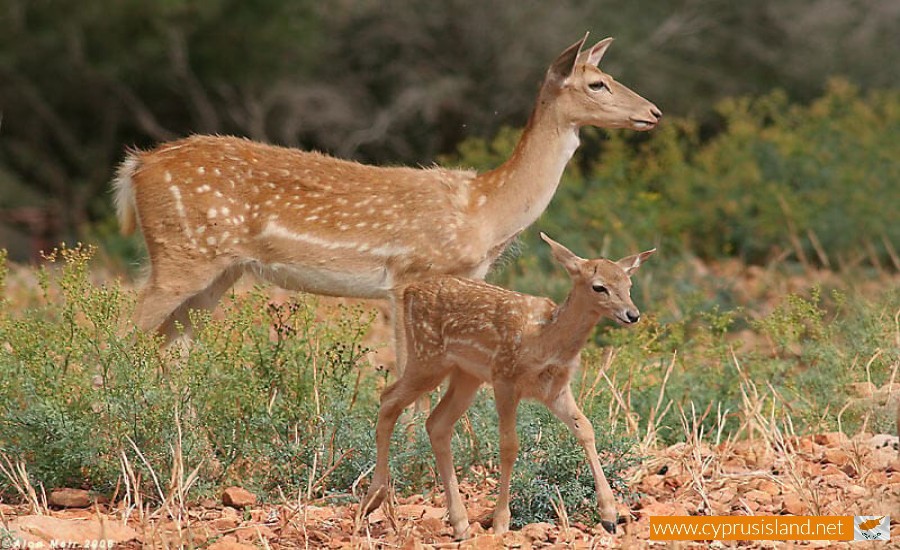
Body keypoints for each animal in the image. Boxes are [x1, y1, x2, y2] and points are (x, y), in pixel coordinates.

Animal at [112, 34, 660, 344]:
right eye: (596, 84)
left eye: (609, 74)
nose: (653, 112)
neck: (484, 210)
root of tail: (136, 166)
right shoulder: (409, 277)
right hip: (181, 255)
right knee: (118, 337)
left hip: (219, 271)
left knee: (171, 347)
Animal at [361, 233, 655, 539]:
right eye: (599, 287)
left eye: (629, 285)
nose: (632, 314)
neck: (544, 342)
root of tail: (410, 291)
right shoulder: (505, 378)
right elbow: (509, 446)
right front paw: (501, 523)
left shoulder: (556, 389)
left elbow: (585, 428)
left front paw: (609, 516)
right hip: (427, 356)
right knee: (388, 399)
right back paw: (373, 499)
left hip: (466, 375)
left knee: (436, 423)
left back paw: (460, 524)